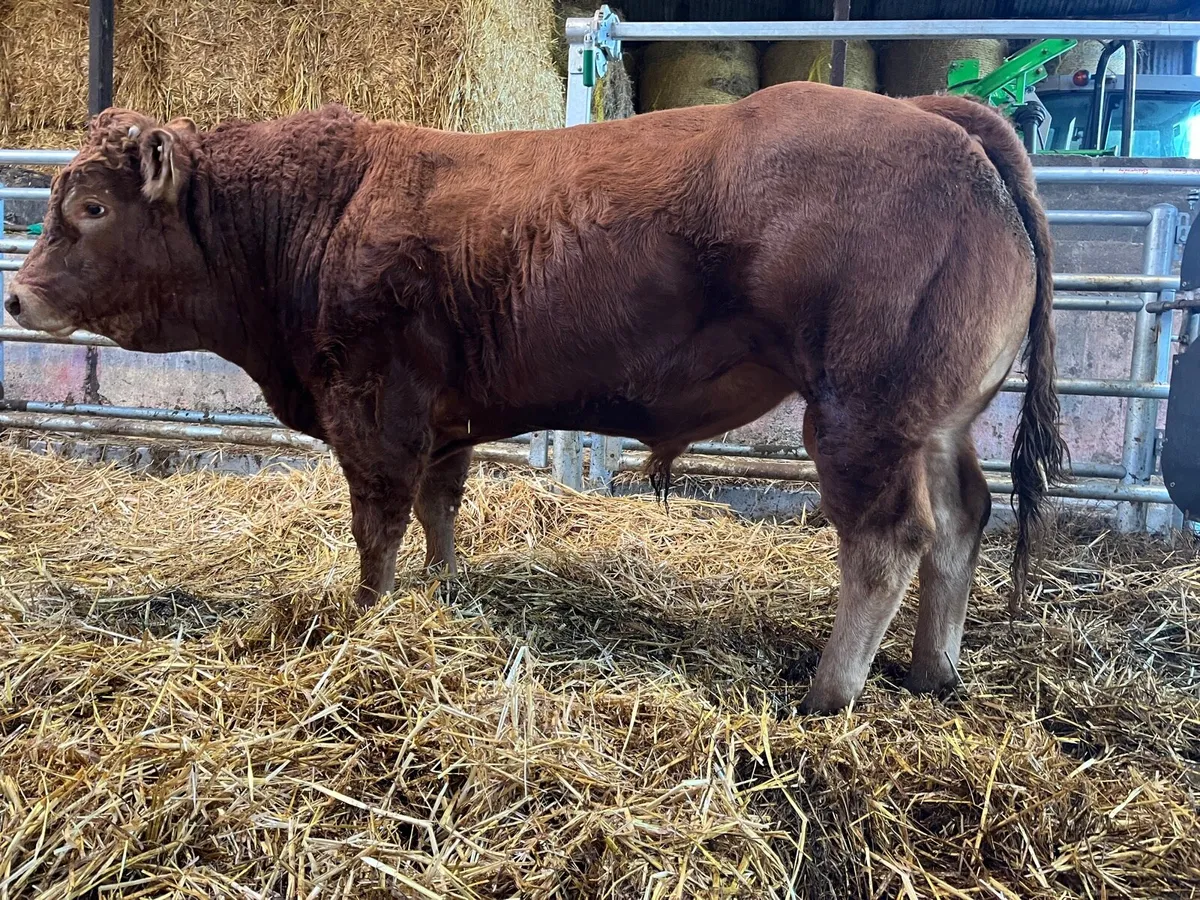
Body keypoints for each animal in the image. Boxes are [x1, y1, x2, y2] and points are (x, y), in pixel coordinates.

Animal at [5, 83, 1067, 712]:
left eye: (90, 208)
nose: (17, 296)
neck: (312, 214)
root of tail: (940, 118)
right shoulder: (444, 418)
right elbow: (440, 508)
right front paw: (441, 595)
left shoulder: (374, 407)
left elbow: (378, 526)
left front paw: (369, 616)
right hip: (938, 420)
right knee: (962, 520)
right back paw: (933, 674)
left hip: (860, 415)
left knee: (887, 539)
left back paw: (828, 692)